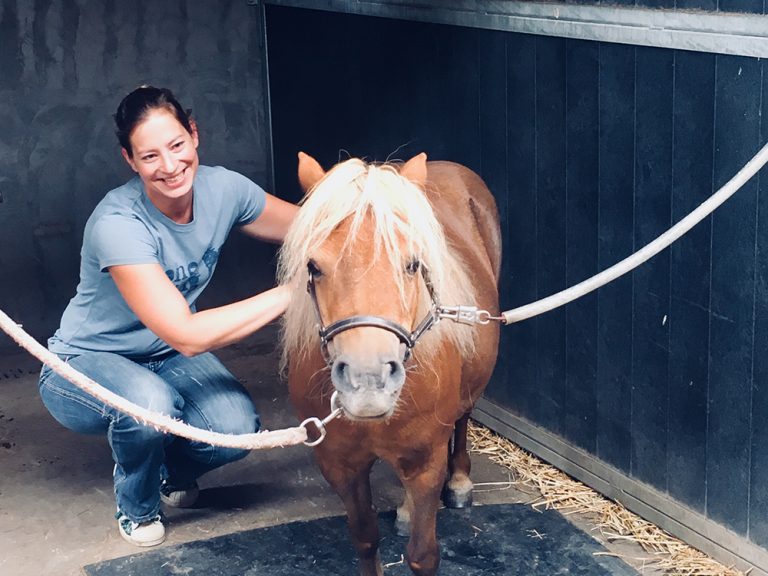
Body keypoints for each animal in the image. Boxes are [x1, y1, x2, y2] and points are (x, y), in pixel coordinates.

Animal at [277, 152, 501, 576]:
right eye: (313, 266)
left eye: (413, 264)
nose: (368, 381)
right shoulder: (340, 466)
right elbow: (365, 538)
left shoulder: (426, 460)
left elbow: (422, 555)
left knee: (464, 416)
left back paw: (459, 482)